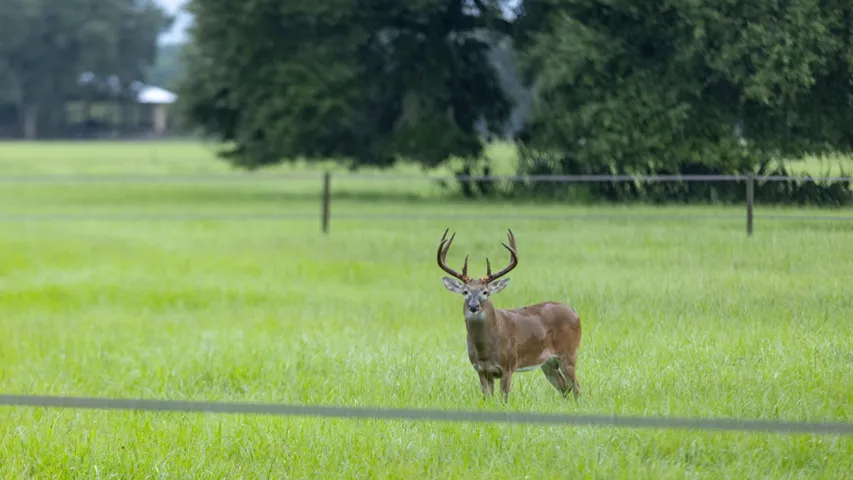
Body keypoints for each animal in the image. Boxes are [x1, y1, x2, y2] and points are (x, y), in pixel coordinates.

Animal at [436, 228, 582, 402]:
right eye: (465, 292)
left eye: (485, 292)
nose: (473, 306)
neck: (485, 348)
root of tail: (575, 313)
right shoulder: (481, 370)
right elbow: (487, 398)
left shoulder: (508, 365)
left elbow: (503, 398)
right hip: (548, 363)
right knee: (564, 388)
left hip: (570, 353)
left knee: (577, 387)